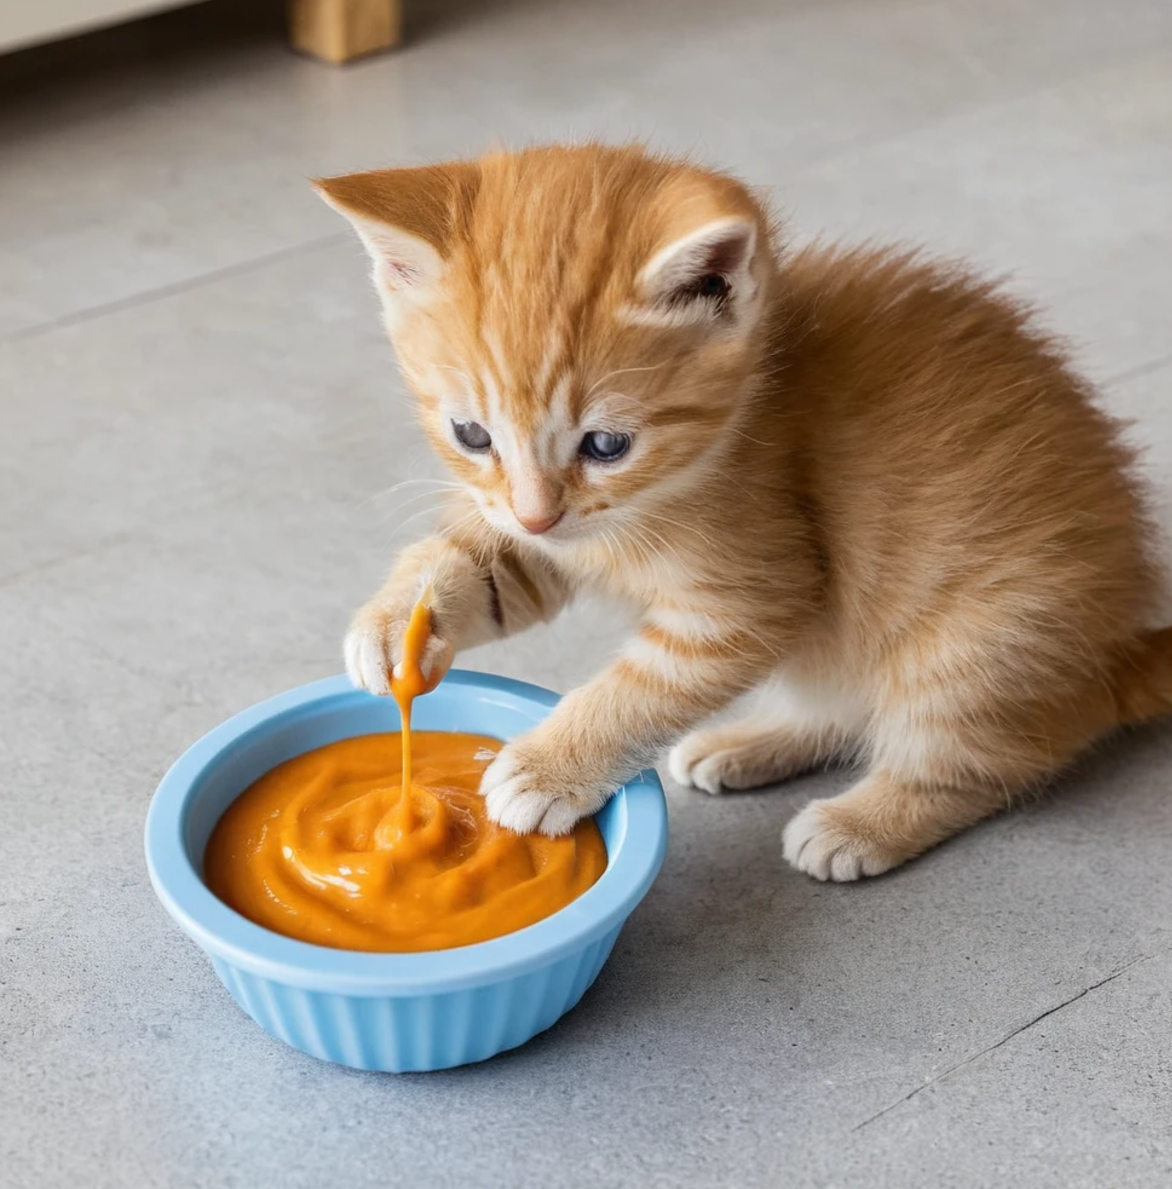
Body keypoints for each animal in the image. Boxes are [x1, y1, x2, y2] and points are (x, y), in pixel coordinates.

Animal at [313, 143, 1169, 879]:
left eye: (607, 444)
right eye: (471, 434)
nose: (537, 516)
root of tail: (1112, 657)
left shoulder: (757, 593)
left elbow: (644, 687)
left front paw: (549, 765)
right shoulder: (540, 538)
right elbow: (485, 564)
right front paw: (393, 623)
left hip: (982, 641)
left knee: (975, 761)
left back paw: (859, 822)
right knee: (840, 699)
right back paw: (750, 742)